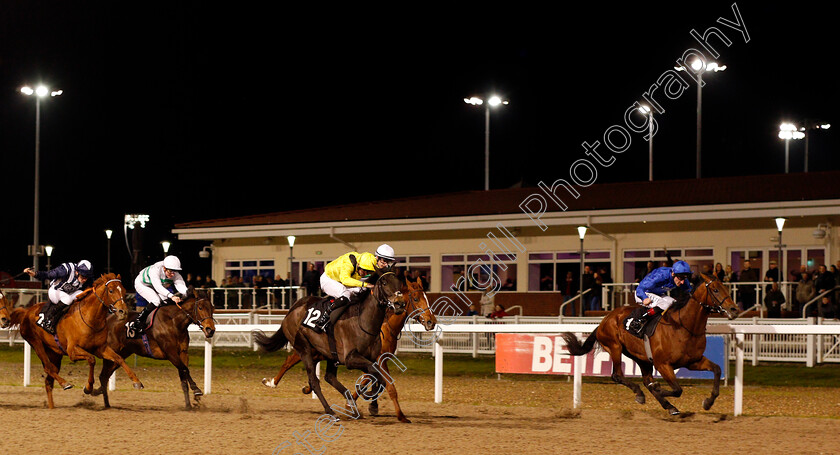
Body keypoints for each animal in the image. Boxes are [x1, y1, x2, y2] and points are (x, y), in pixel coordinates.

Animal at [0, 274, 144, 410]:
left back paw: (52, 406)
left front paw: (136, 381)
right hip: (36, 343)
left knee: (49, 380)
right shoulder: (72, 351)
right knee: (48, 368)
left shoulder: (101, 348)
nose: (123, 311)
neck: (91, 318)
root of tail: (26, 311)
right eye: (111, 290)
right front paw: (88, 387)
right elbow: (92, 359)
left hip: (55, 353)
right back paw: (65, 383)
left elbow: (119, 358)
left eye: (124, 290)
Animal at [260, 278, 434, 424]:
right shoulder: (374, 359)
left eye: (427, 297)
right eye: (416, 298)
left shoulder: (376, 358)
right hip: (306, 349)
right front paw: (399, 415)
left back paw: (285, 384)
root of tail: (293, 309)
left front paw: (364, 404)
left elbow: (370, 380)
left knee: (316, 373)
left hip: (321, 352)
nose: (431, 321)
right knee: (303, 371)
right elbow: (385, 385)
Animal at [560, 274, 740, 416]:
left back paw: (668, 405)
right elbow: (677, 389)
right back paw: (640, 393)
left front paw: (708, 402)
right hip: (615, 347)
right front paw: (659, 388)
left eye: (725, 288)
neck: (684, 326)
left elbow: (717, 369)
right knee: (617, 375)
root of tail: (604, 320)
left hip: (641, 357)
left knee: (646, 380)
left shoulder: (693, 361)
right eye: (715, 290)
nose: (734, 309)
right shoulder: (663, 364)